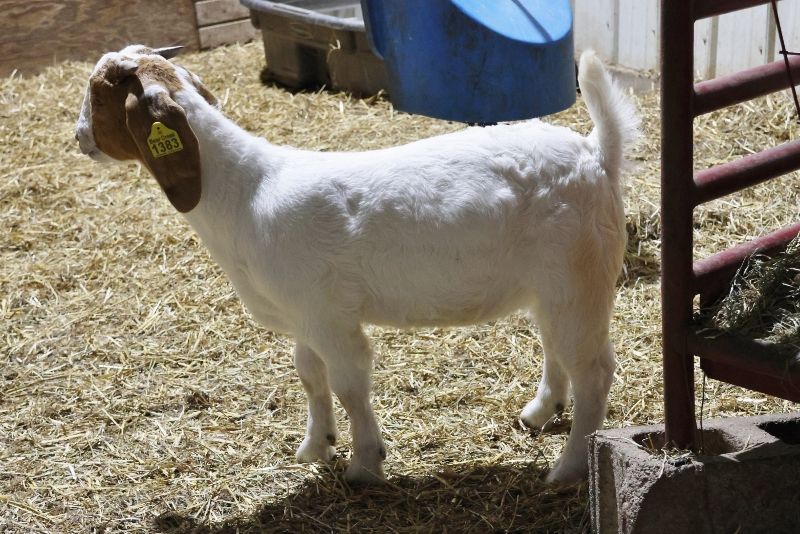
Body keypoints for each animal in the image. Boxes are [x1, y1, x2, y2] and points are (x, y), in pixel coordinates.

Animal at [75, 45, 638, 486]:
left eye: (99, 95)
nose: (79, 138)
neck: (245, 193)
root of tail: (596, 153)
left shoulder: (330, 318)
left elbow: (348, 384)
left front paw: (365, 465)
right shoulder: (305, 315)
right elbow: (309, 375)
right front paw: (316, 445)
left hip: (578, 282)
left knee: (594, 372)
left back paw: (568, 468)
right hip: (555, 289)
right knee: (558, 350)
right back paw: (540, 413)